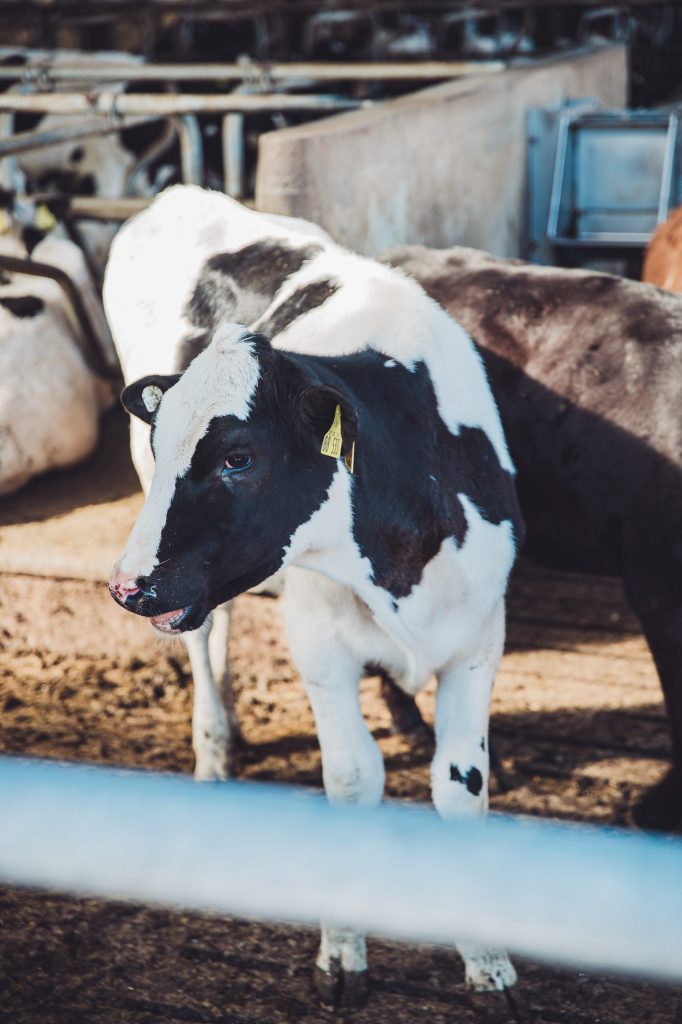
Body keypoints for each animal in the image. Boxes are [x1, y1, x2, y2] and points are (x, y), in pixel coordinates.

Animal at [105, 185, 523, 1007]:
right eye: (163, 443)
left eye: (239, 458)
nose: (128, 584)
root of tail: (177, 193)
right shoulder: (321, 646)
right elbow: (354, 780)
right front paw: (341, 953)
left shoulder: (479, 638)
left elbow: (462, 789)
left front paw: (487, 961)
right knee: (203, 635)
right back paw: (215, 747)